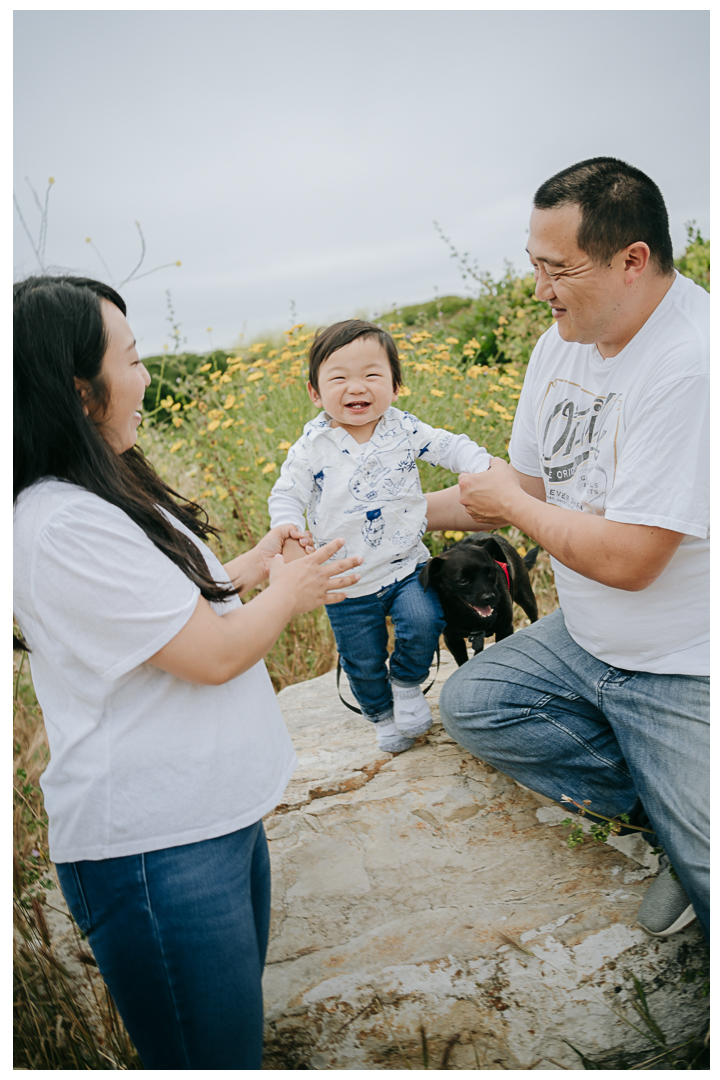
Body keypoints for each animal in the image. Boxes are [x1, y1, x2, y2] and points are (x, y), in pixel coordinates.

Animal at [416, 531, 539, 665]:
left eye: (491, 573)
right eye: (462, 581)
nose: (490, 597)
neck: (469, 616)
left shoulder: (505, 629)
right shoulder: (452, 639)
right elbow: (463, 661)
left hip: (525, 596)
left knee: (533, 615)